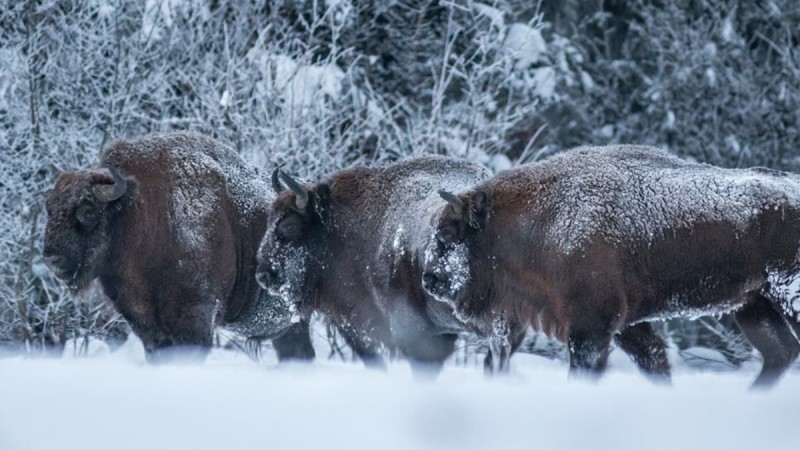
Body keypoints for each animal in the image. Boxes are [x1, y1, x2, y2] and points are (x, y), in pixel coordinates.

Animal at [42, 132, 314, 364]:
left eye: (88, 212)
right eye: (50, 209)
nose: (51, 258)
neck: (138, 214)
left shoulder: (195, 316)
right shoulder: (148, 327)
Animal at [422, 145, 800, 386]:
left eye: (446, 234)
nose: (429, 279)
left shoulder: (591, 327)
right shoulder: (627, 326)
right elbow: (655, 362)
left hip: (785, 296)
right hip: (754, 305)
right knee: (781, 353)